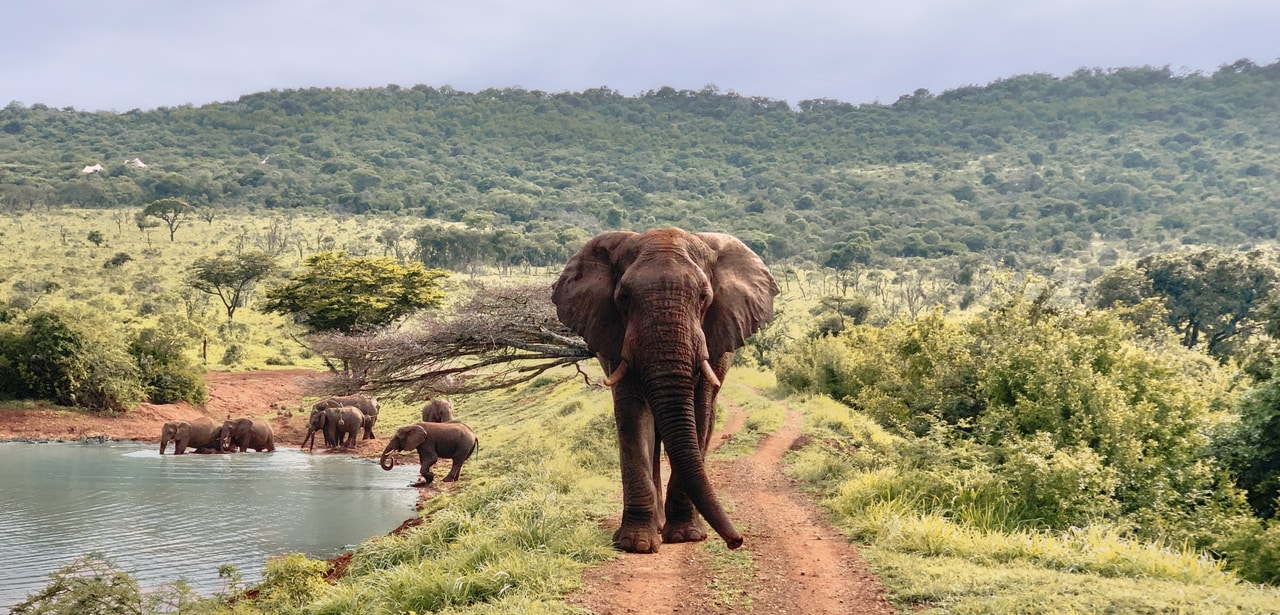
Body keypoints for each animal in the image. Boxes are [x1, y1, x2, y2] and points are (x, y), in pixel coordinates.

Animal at [552, 229, 778, 553]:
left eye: (704, 297)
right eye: (623, 298)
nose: (737, 541)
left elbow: (699, 413)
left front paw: (686, 536)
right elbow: (632, 416)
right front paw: (635, 544)